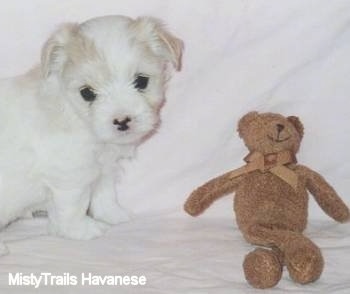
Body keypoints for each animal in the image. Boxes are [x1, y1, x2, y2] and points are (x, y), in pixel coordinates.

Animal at [0, 15, 183, 239]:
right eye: (87, 93)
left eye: (141, 81)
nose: (122, 121)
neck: (76, 117)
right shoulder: (70, 176)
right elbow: (74, 207)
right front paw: (81, 229)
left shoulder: (104, 168)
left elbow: (104, 194)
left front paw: (113, 215)